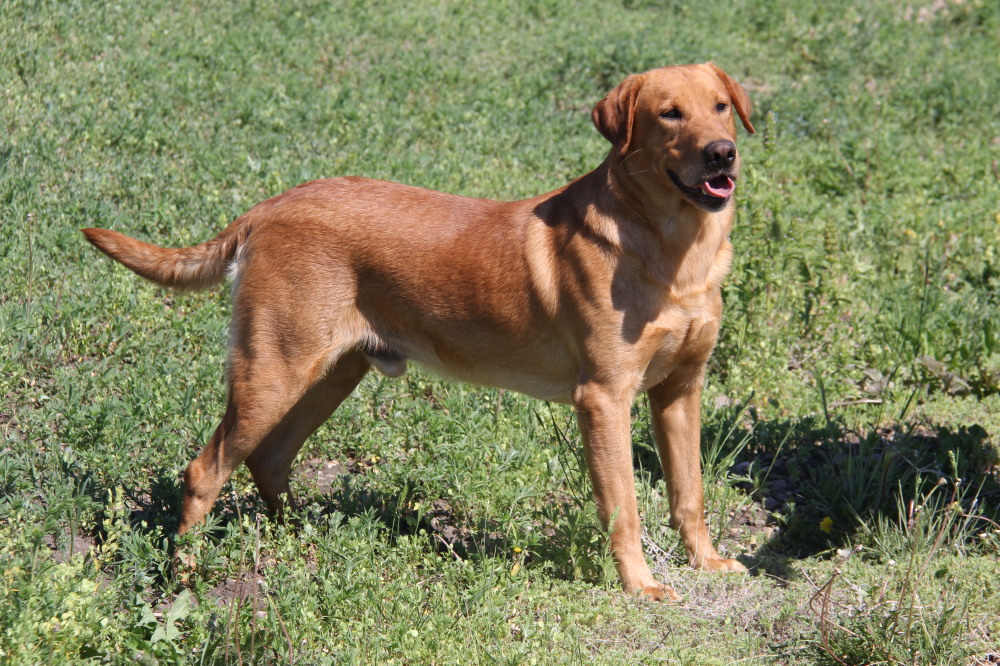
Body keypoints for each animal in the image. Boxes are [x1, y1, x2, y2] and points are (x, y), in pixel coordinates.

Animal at [84, 62, 752, 600]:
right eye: (669, 113)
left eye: (721, 105)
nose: (722, 153)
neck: (675, 251)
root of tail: (268, 208)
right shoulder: (604, 398)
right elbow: (625, 510)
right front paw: (640, 586)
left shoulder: (680, 391)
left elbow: (689, 492)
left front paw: (708, 562)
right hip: (272, 371)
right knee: (204, 472)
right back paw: (186, 575)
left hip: (333, 373)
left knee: (270, 460)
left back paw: (303, 542)